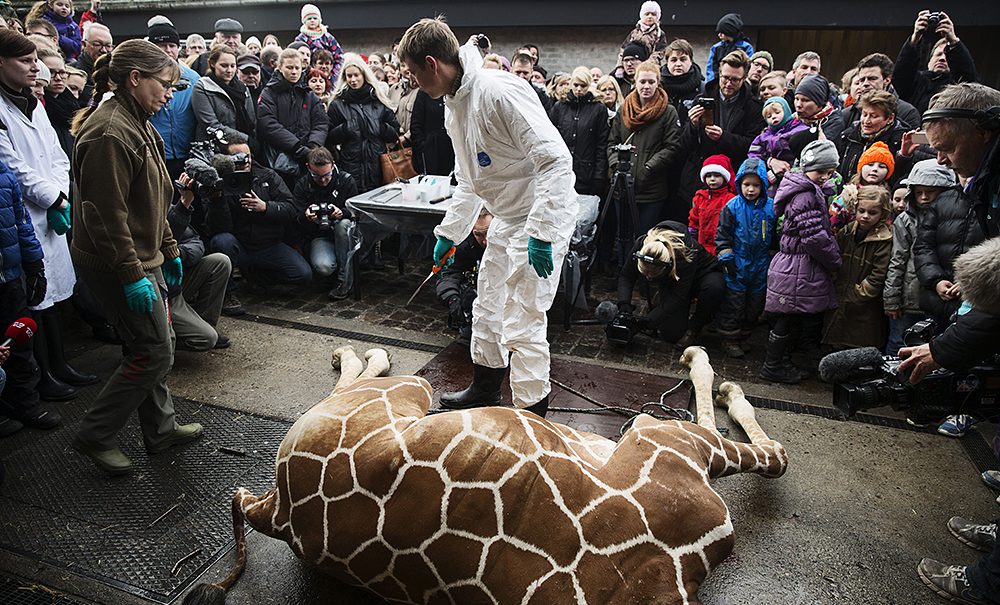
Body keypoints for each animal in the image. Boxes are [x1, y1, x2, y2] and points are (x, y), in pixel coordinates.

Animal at [189, 344, 788, 604]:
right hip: (410, 391)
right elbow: (770, 449)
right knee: (363, 378)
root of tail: (276, 510)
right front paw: (711, 371)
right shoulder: (664, 442)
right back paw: (352, 351)